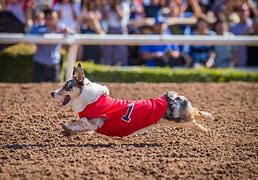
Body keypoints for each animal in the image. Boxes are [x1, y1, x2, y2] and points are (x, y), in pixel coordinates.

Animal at [50, 64, 212, 137]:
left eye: (67, 86)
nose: (52, 93)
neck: (88, 99)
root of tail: (171, 97)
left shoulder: (94, 122)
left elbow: (78, 124)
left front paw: (67, 128)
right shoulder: (90, 123)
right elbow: (78, 125)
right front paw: (67, 131)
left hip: (180, 119)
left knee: (194, 118)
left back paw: (205, 126)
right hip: (176, 120)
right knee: (195, 113)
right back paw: (208, 118)